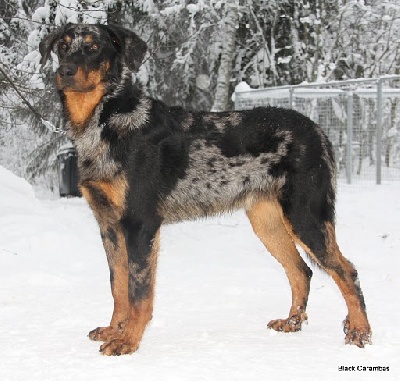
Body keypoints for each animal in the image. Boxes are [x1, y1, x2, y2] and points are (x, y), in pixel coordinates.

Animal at [39, 23, 372, 354]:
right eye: (62, 46)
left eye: (94, 47)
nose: (64, 71)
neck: (105, 122)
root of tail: (319, 131)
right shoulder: (109, 225)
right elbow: (118, 285)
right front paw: (114, 329)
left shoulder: (140, 224)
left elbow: (139, 292)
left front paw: (129, 339)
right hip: (268, 223)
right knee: (302, 271)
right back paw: (292, 323)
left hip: (306, 216)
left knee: (347, 271)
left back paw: (360, 331)